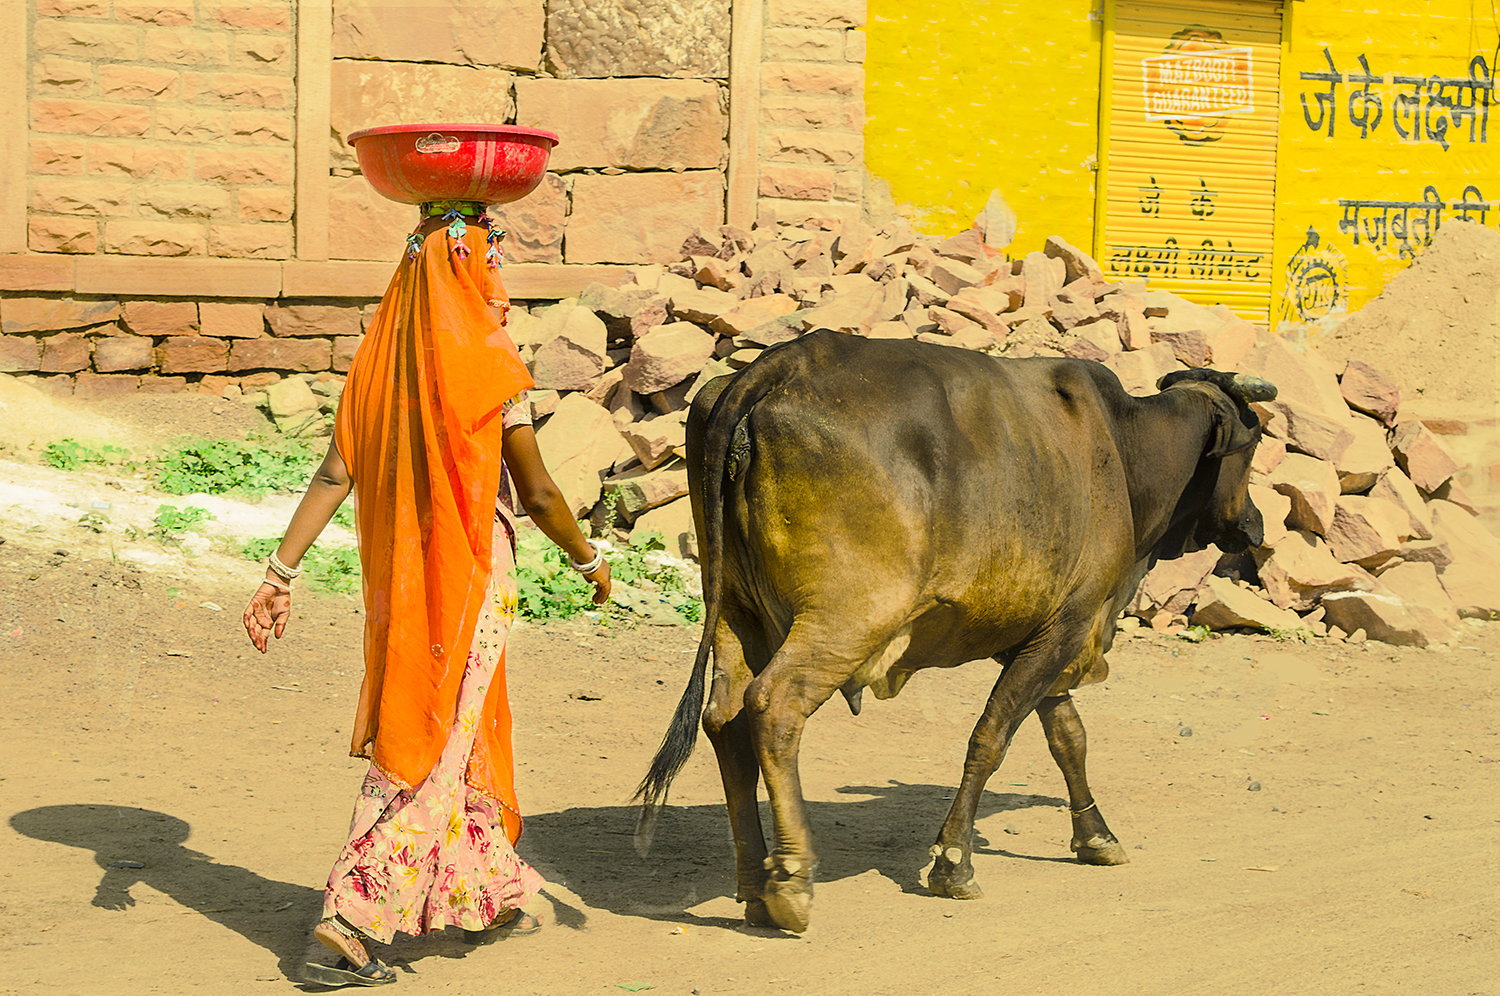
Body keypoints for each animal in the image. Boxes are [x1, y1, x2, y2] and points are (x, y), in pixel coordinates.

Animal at [636, 333, 1278, 936]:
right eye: (1251, 447)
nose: (1254, 527)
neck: (1123, 446)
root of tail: (790, 358)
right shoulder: (1070, 621)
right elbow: (992, 737)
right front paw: (953, 861)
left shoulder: (1038, 632)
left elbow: (1068, 736)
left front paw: (1095, 835)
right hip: (846, 617)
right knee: (773, 706)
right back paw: (791, 884)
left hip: (734, 611)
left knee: (724, 719)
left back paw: (753, 885)